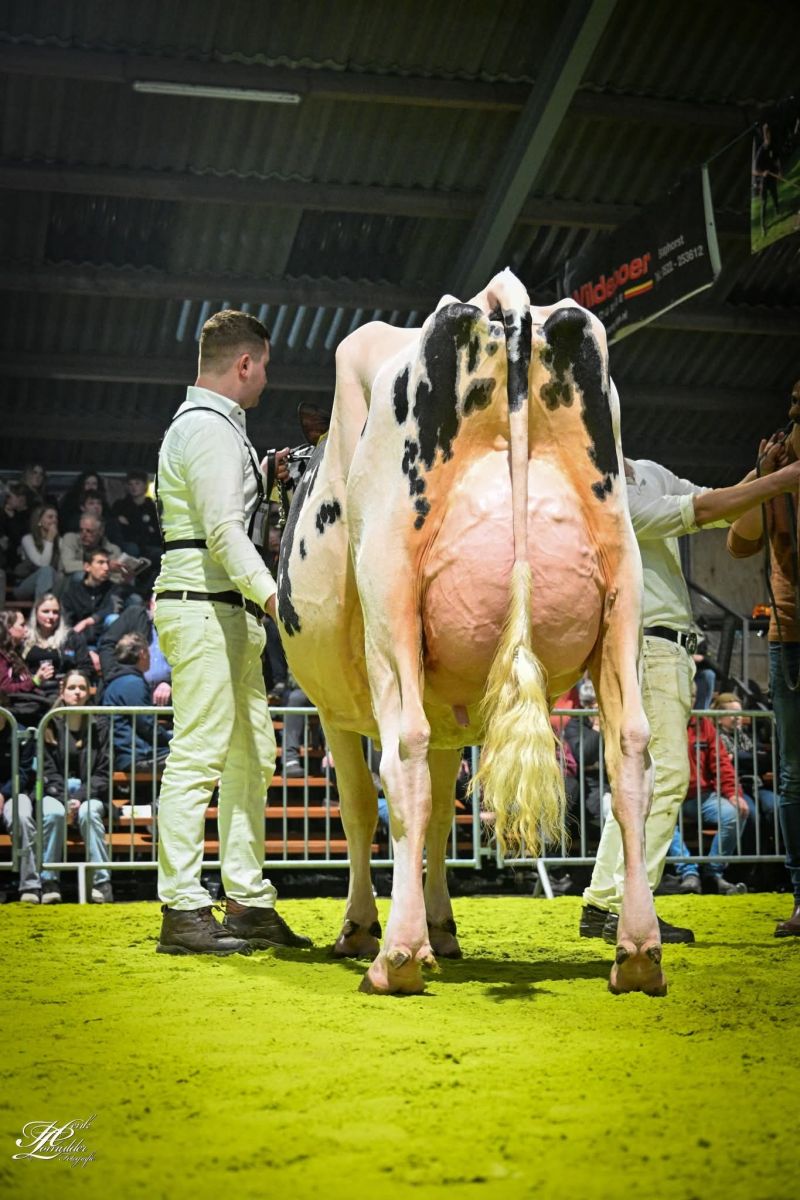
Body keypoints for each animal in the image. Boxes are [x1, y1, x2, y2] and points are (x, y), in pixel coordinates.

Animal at [276, 269, 664, 997]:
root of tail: (496, 303)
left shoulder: (334, 711)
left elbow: (361, 809)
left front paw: (364, 928)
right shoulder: (451, 716)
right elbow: (436, 823)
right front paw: (444, 927)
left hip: (392, 600)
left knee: (401, 758)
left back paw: (395, 958)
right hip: (623, 590)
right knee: (630, 753)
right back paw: (638, 953)